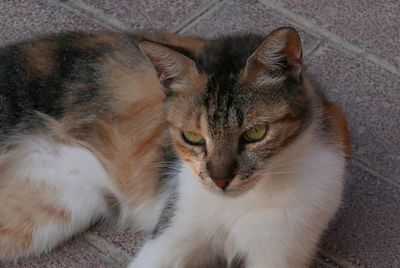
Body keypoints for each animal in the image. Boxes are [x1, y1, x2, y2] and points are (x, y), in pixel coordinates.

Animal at [0, 26, 350, 266]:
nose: (220, 180)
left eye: (255, 133)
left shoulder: (280, 249)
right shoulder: (172, 232)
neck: (238, 205)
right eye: (192, 137)